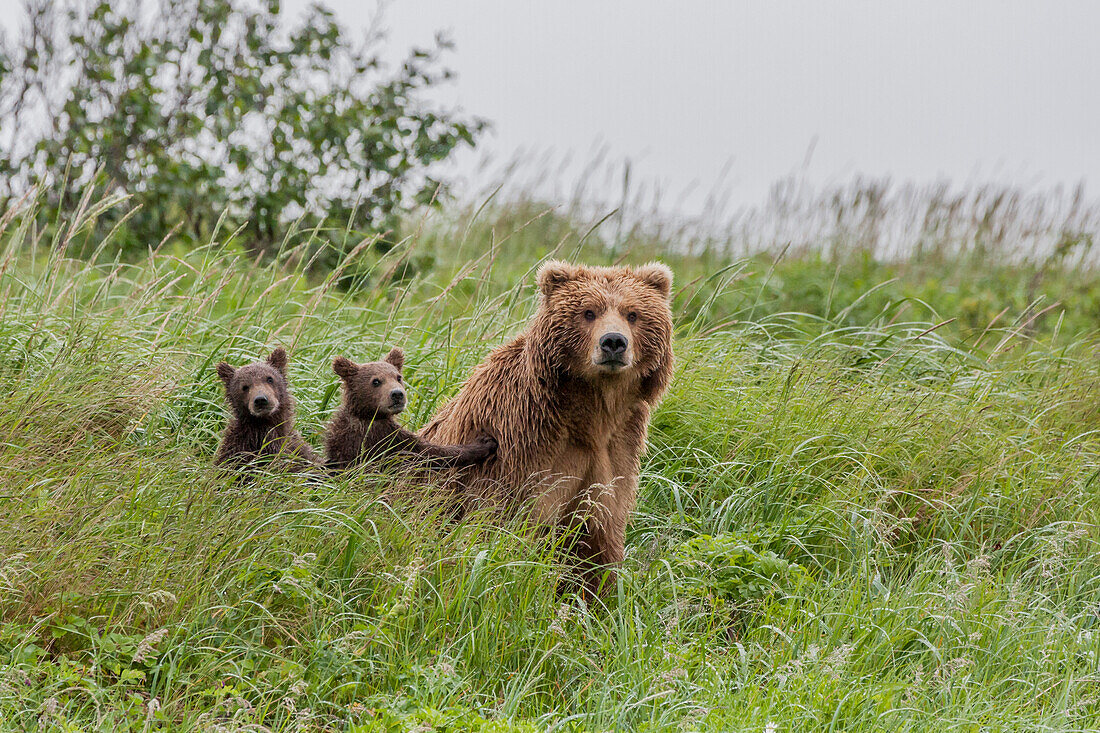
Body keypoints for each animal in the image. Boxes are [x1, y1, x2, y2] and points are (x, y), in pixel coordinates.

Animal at [420, 259, 677, 589]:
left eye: (633, 314)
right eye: (588, 312)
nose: (613, 342)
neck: (593, 411)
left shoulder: (617, 450)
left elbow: (597, 542)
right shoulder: (523, 448)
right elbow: (503, 532)